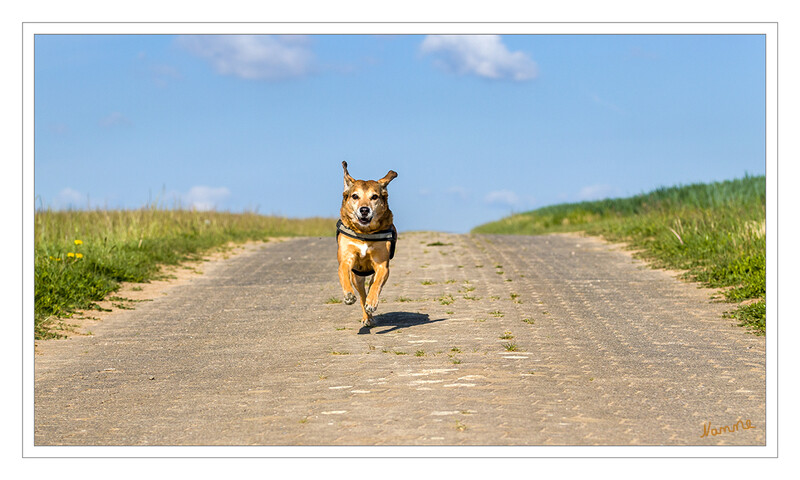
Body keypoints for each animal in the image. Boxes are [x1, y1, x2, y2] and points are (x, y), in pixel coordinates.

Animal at [336, 161, 398, 326]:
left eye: (374, 197)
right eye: (355, 196)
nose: (364, 210)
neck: (365, 233)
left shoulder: (382, 266)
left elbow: (376, 285)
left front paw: (372, 302)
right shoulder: (347, 259)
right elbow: (343, 273)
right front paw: (348, 295)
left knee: (371, 286)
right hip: (357, 277)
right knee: (362, 295)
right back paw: (366, 317)